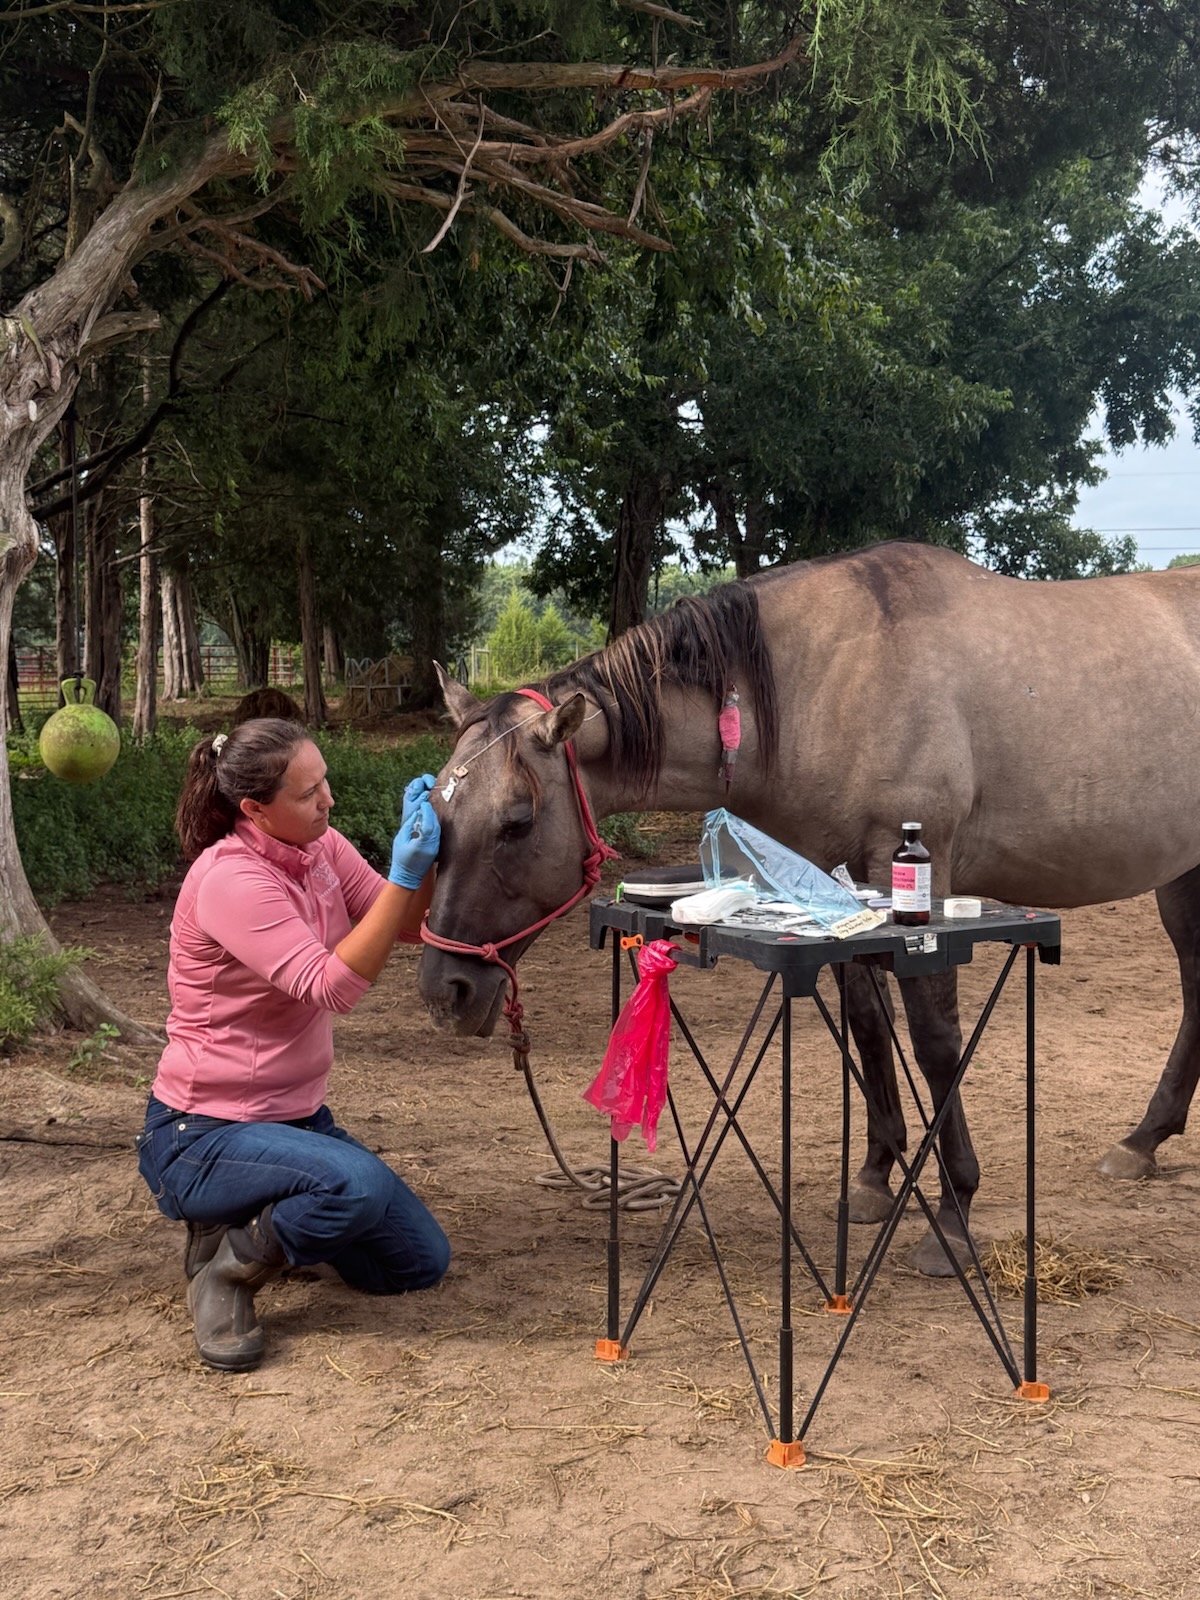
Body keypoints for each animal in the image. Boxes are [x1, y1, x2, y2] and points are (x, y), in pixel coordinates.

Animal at [417, 540, 1200, 1274]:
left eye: (517, 821)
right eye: (433, 814)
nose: (445, 991)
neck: (822, 683)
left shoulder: (917, 878)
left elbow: (935, 1044)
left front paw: (953, 1214)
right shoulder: (841, 894)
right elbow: (869, 1028)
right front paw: (876, 1179)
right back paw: (1143, 1141)